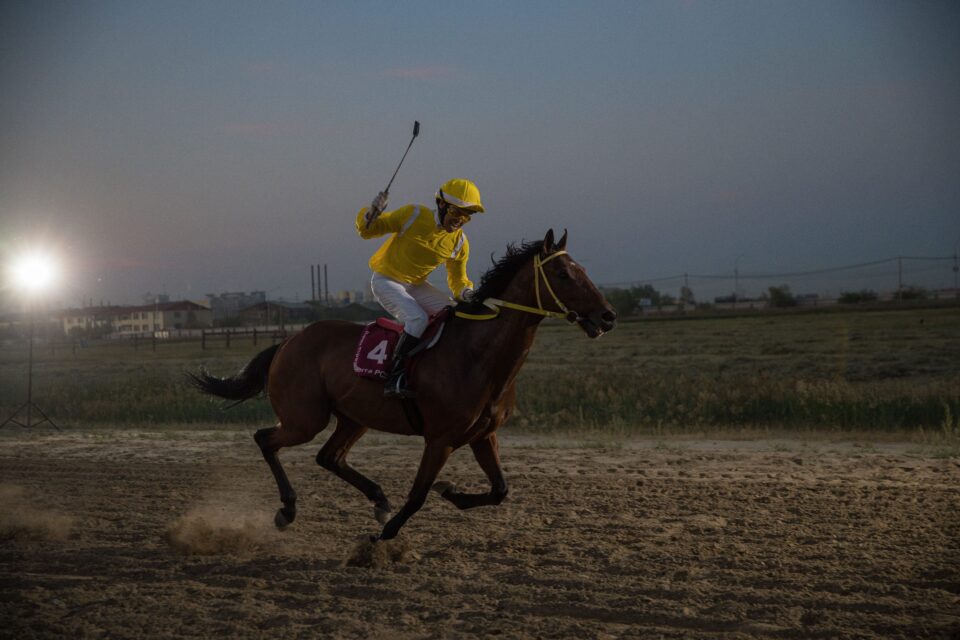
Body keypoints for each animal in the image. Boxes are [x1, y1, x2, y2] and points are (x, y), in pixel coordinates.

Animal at [191, 230, 620, 540]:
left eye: (583, 270)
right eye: (563, 274)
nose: (607, 316)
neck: (478, 356)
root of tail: (288, 341)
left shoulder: (483, 435)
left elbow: (500, 490)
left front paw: (449, 492)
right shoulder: (440, 439)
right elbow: (417, 495)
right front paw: (386, 535)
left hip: (353, 417)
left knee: (329, 457)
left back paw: (378, 499)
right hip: (304, 418)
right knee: (266, 439)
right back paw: (288, 509)